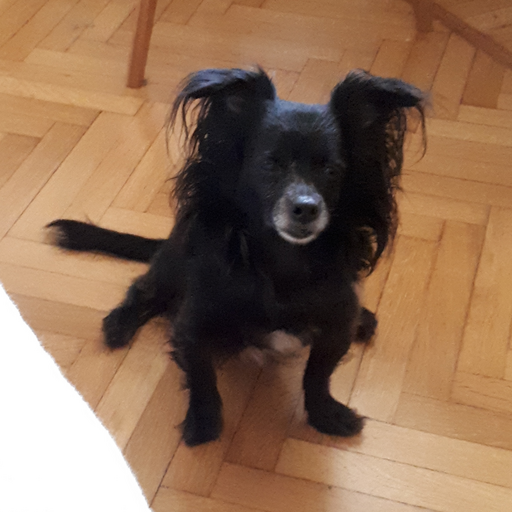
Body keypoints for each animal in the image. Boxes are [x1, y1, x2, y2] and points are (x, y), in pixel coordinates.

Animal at [48, 67, 424, 446]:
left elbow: (318, 375)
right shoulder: (194, 322)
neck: (282, 259)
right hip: (171, 263)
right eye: (269, 164)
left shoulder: (336, 325)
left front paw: (326, 415)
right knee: (145, 289)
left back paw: (365, 319)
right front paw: (204, 422)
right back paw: (119, 323)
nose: (306, 207)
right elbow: (201, 375)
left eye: (332, 171)